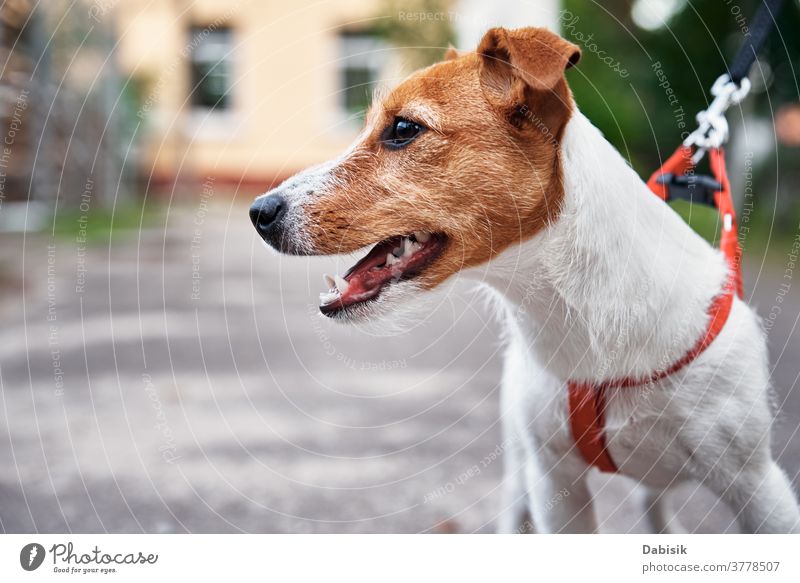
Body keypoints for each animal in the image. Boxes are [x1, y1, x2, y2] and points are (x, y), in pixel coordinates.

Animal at [250, 26, 800, 532]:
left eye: (404, 128)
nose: (260, 211)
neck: (586, 320)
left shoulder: (756, 485)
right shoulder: (555, 483)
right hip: (521, 475)